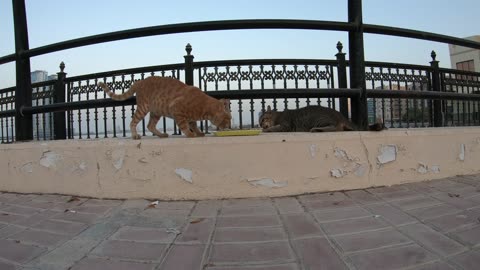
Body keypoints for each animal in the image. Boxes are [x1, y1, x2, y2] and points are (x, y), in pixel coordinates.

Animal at [98, 76, 232, 139]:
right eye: (229, 118)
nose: (229, 126)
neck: (204, 106)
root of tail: (139, 82)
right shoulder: (176, 109)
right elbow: (184, 126)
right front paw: (190, 134)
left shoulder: (190, 117)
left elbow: (194, 125)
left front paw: (199, 133)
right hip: (143, 108)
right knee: (133, 122)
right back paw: (135, 136)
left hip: (156, 112)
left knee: (150, 126)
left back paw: (162, 135)